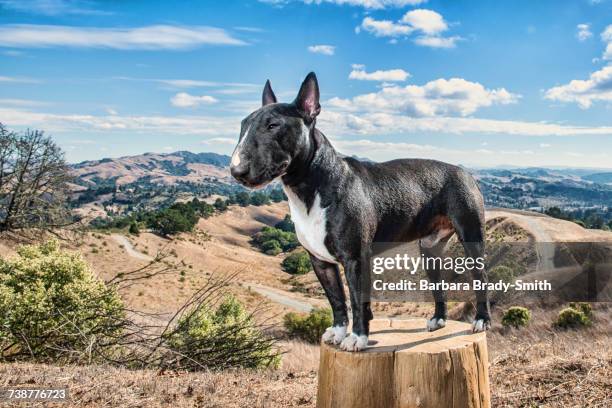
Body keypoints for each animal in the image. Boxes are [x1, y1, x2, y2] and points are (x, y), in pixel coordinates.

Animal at [231, 72, 492, 350]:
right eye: (243, 125)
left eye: (273, 125)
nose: (236, 171)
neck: (313, 186)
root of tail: (465, 172)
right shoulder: (320, 262)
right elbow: (336, 300)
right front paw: (337, 332)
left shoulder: (355, 258)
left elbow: (357, 300)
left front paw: (357, 337)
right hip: (430, 247)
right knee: (438, 281)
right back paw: (438, 319)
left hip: (471, 236)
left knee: (481, 277)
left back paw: (481, 320)